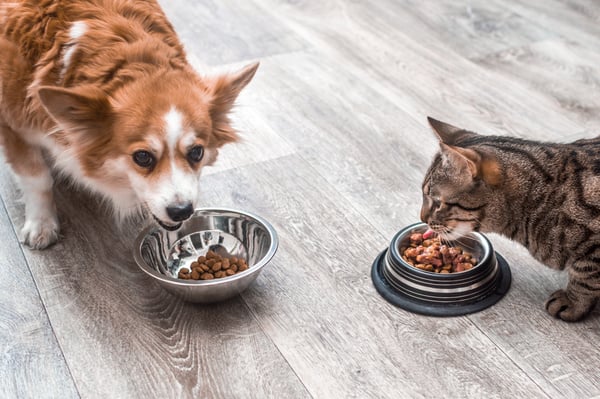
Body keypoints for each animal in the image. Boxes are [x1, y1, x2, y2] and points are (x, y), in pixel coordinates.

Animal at [0, 0, 258, 250]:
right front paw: (41, 224)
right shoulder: (12, 127)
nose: (182, 211)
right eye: (142, 157)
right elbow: (38, 178)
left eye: (197, 152)